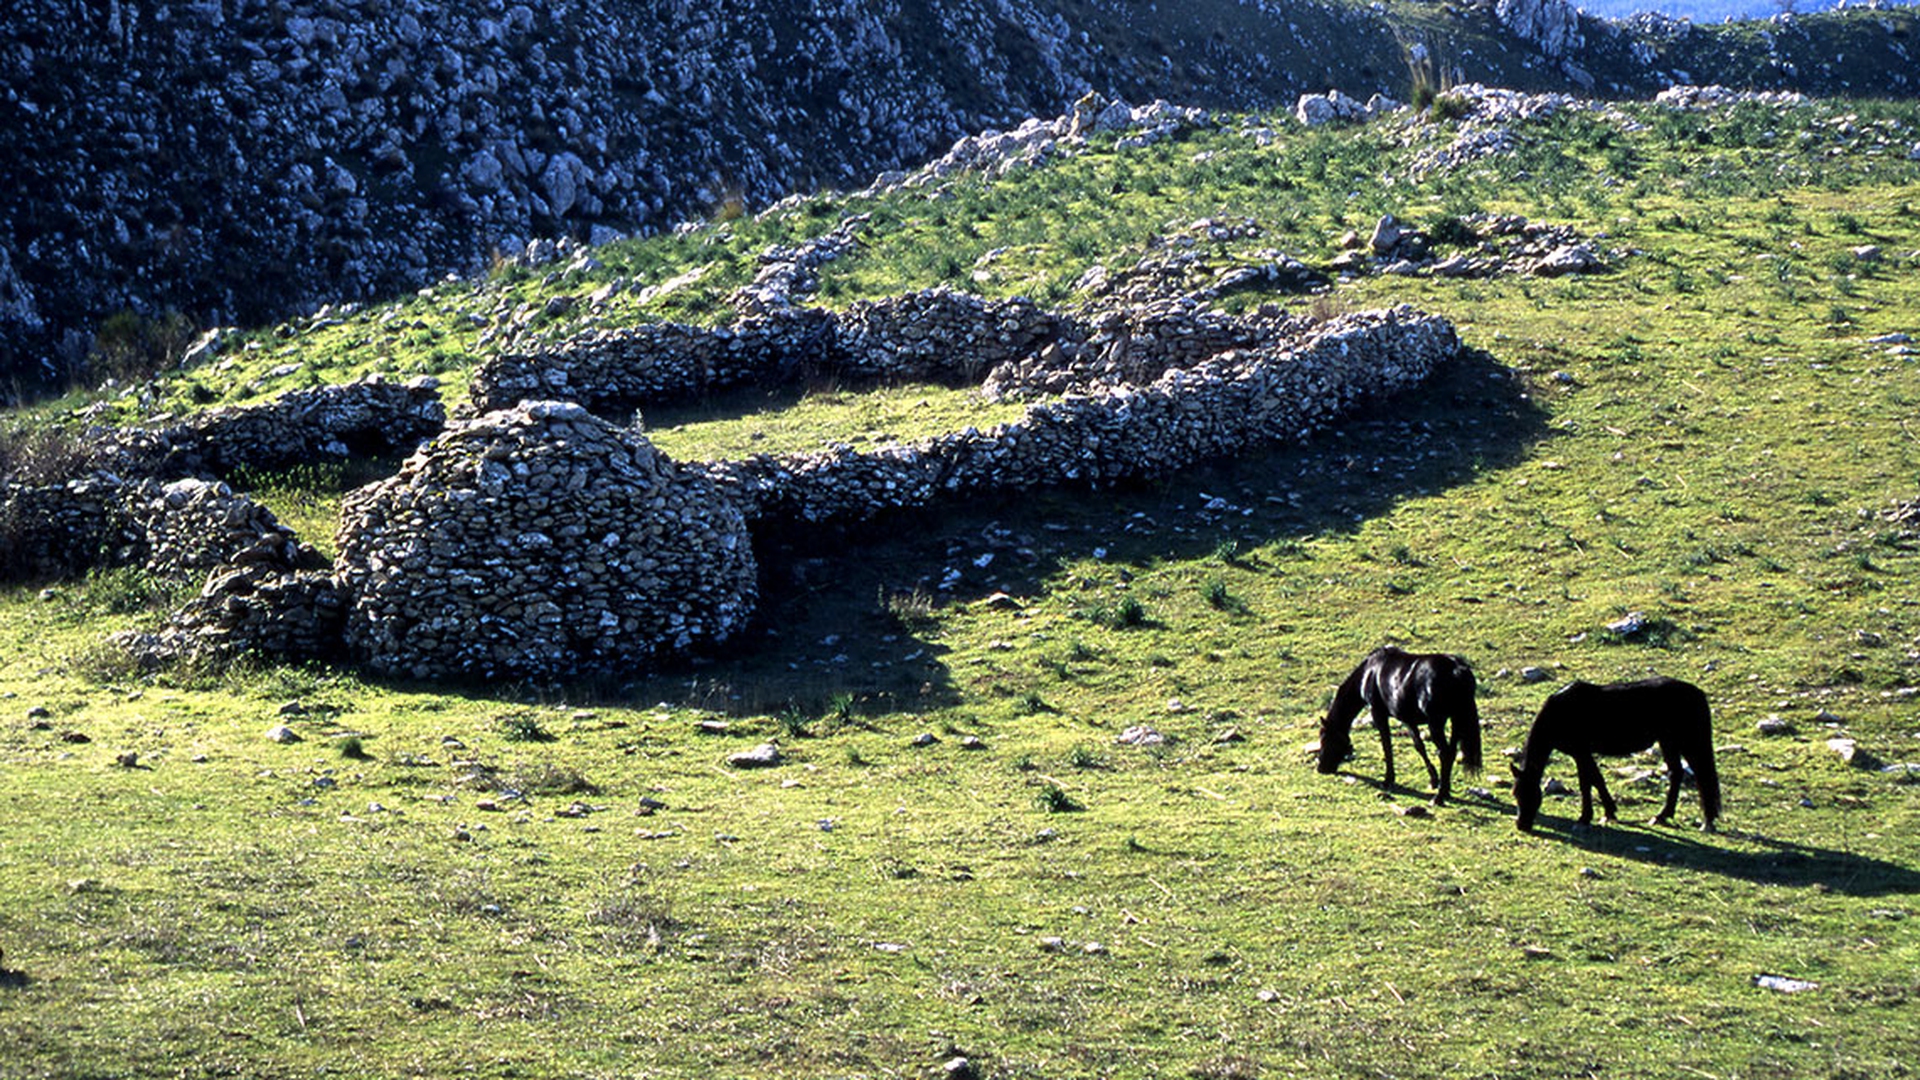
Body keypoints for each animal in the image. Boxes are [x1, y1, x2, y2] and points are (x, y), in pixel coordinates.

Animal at [1316, 646, 1483, 805]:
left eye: (1325, 739)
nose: (1321, 768)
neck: (1370, 672)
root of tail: (1456, 669)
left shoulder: (1378, 714)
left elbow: (1387, 746)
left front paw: (1388, 780)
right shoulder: (1407, 719)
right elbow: (1419, 746)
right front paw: (1433, 780)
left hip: (1436, 724)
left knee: (1445, 754)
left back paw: (1439, 797)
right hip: (1456, 720)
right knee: (1452, 752)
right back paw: (1445, 790)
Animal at [1511, 676, 1721, 833]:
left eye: (1531, 794)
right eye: (1515, 794)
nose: (1522, 825)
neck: (1559, 714)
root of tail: (1697, 692)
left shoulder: (1581, 752)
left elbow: (1589, 781)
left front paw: (1587, 817)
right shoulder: (1580, 754)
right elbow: (1593, 780)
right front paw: (1607, 812)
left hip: (1686, 742)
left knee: (1701, 775)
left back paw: (1705, 821)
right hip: (1668, 742)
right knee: (1676, 773)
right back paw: (1663, 816)